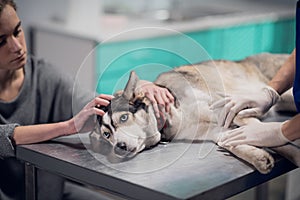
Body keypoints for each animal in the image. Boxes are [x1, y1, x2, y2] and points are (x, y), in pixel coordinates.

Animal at [89, 53, 296, 173]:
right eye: (107, 135)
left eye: (124, 118)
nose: (119, 147)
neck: (172, 116)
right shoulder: (214, 130)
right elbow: (232, 142)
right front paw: (258, 157)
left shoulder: (232, 110)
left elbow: (273, 138)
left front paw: (294, 153)